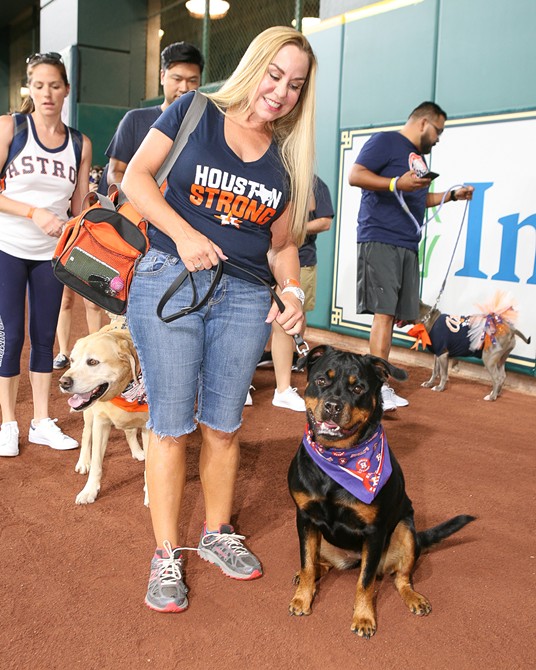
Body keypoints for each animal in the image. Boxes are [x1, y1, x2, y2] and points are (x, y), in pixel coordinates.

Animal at [58, 324, 149, 504]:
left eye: (92, 362)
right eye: (72, 360)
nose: (63, 382)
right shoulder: (101, 423)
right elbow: (96, 463)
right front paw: (89, 491)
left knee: (129, 431)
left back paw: (137, 451)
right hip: (89, 416)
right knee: (86, 434)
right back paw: (83, 462)